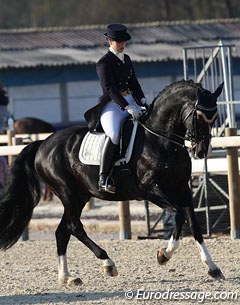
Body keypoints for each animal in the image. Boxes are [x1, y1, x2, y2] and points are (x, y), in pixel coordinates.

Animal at [0, 79, 223, 284]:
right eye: (199, 116)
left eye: (214, 117)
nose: (202, 151)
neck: (161, 140)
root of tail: (43, 143)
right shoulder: (150, 189)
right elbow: (179, 215)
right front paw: (164, 255)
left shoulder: (182, 188)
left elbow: (194, 225)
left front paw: (212, 267)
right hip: (68, 193)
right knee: (74, 227)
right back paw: (107, 263)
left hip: (79, 197)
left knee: (62, 231)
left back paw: (67, 277)